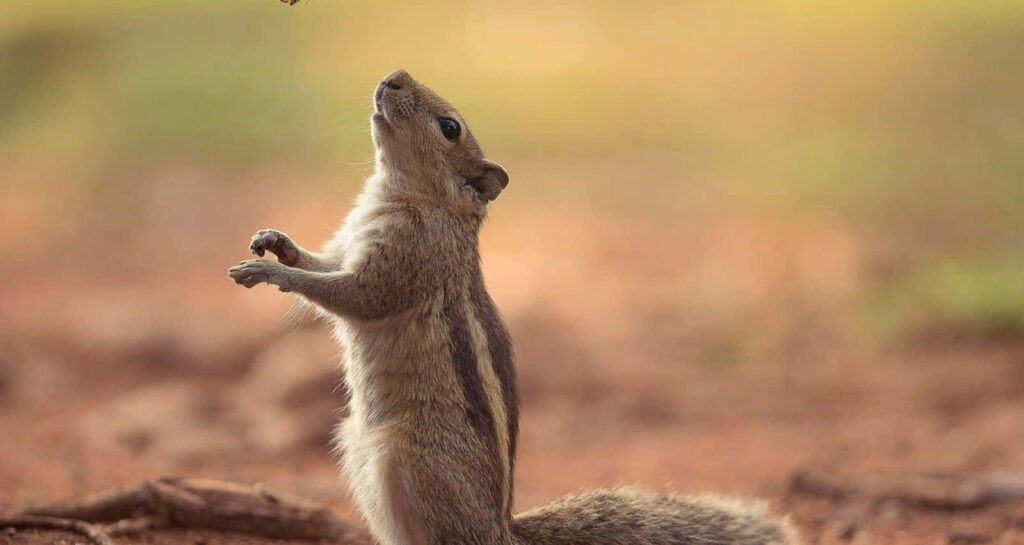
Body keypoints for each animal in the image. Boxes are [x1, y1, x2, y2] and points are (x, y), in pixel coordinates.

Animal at [228, 70, 800, 545]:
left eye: (450, 127)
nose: (394, 76)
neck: (408, 196)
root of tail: (500, 533)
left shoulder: (406, 263)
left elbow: (352, 296)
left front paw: (269, 272)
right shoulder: (347, 245)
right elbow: (321, 265)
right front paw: (275, 242)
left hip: (406, 459)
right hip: (355, 448)